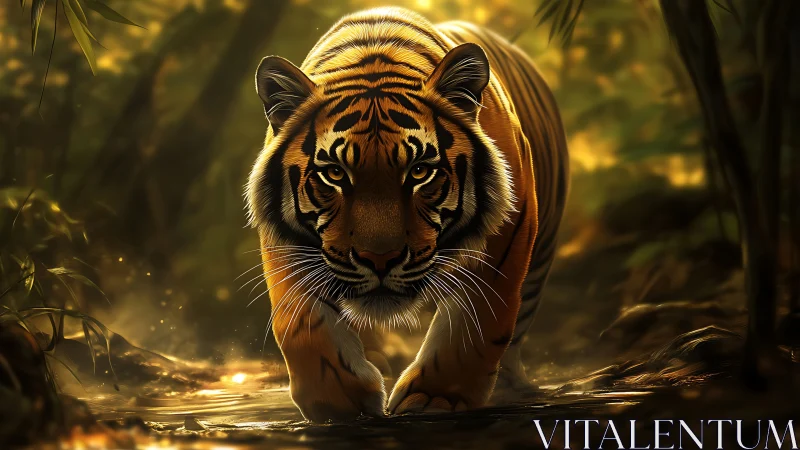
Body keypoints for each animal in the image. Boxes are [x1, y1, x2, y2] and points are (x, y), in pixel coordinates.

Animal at [246, 6, 569, 422]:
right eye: (334, 173)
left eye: (419, 172)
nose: (379, 259)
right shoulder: (289, 246)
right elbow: (303, 325)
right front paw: (340, 401)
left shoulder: (504, 239)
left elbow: (475, 325)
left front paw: (434, 399)